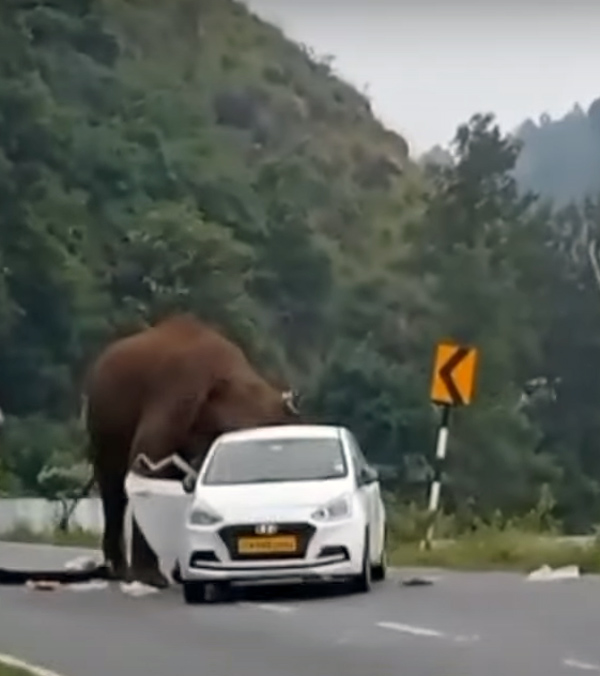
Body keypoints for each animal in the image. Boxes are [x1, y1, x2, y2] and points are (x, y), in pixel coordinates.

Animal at [82, 313, 302, 588]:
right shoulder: (174, 399)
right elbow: (148, 468)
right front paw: (155, 580)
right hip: (103, 422)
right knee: (113, 485)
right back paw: (121, 572)